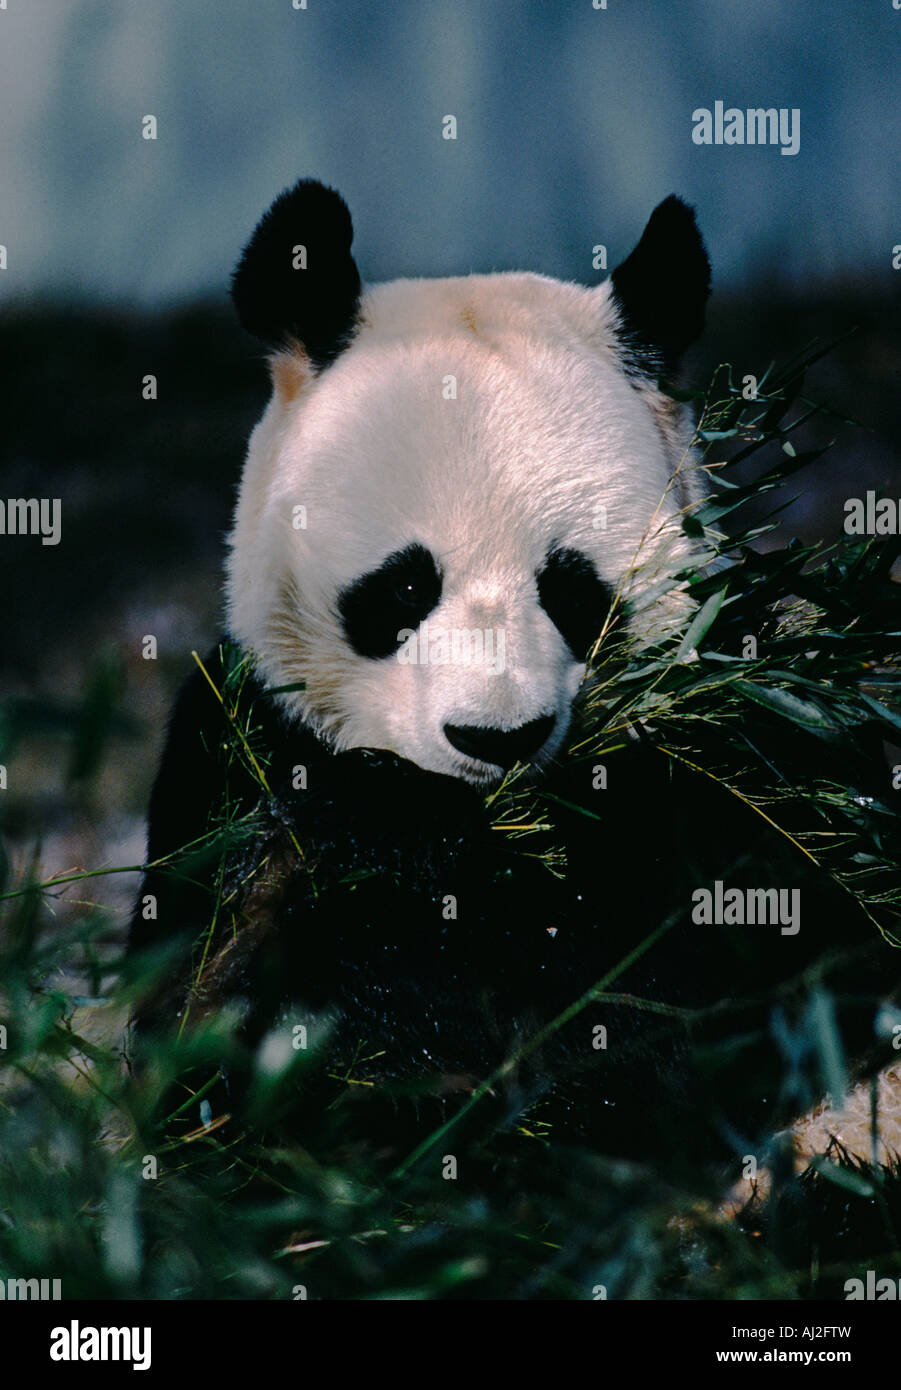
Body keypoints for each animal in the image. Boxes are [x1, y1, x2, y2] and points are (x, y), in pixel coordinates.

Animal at [130, 179, 889, 1178]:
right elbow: (223, 1001)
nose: (496, 740)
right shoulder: (236, 749)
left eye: (571, 588)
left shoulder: (731, 758)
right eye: (404, 586)